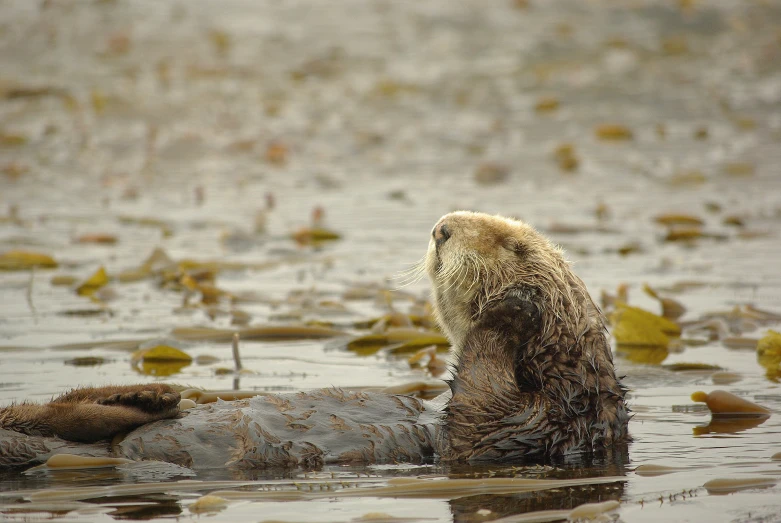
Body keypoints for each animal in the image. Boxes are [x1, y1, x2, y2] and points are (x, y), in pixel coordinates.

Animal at [0, 213, 628, 470]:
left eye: (510, 243)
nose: (441, 227)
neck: (568, 380)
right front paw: (512, 309)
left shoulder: (537, 429)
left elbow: (479, 416)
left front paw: (514, 307)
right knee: (52, 408)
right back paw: (152, 396)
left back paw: (148, 399)